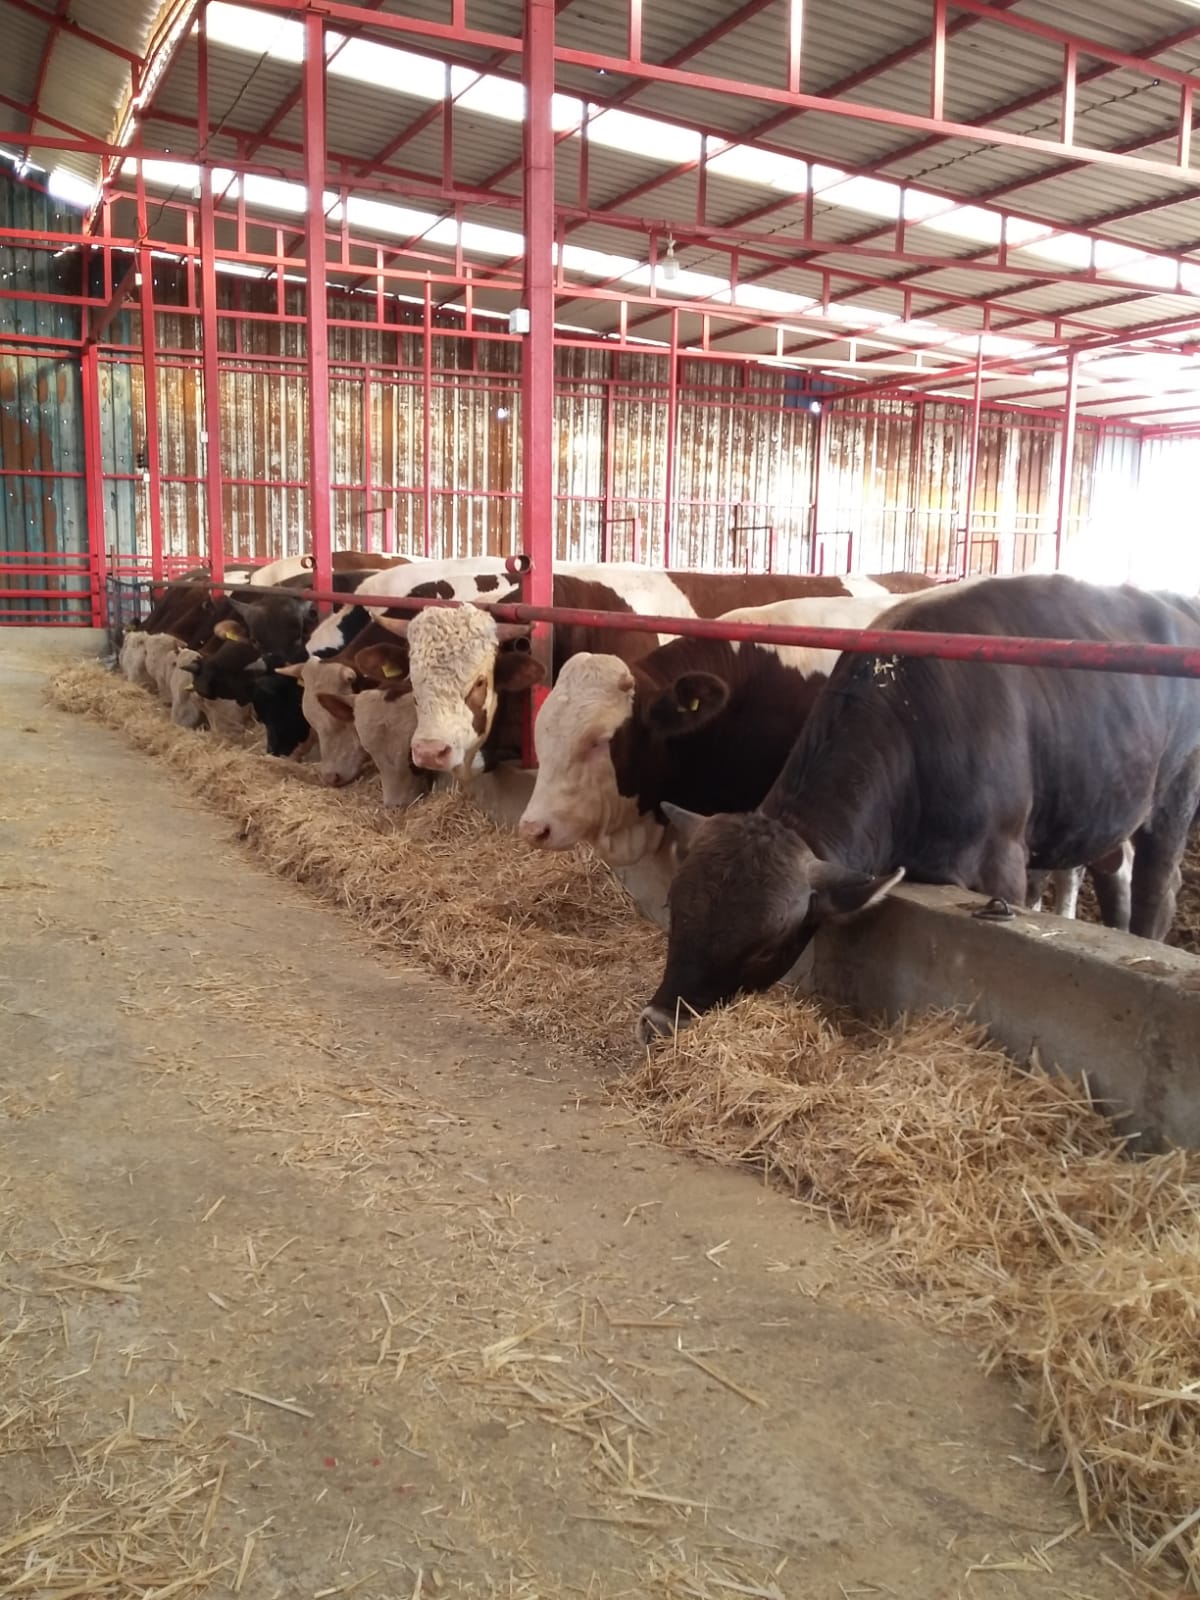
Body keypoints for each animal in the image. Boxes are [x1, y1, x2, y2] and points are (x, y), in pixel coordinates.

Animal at [637, 575, 1200, 1042]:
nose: (657, 1023)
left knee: (1158, 884)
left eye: (765, 946)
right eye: (675, 909)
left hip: (1176, 792)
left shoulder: (999, 865)